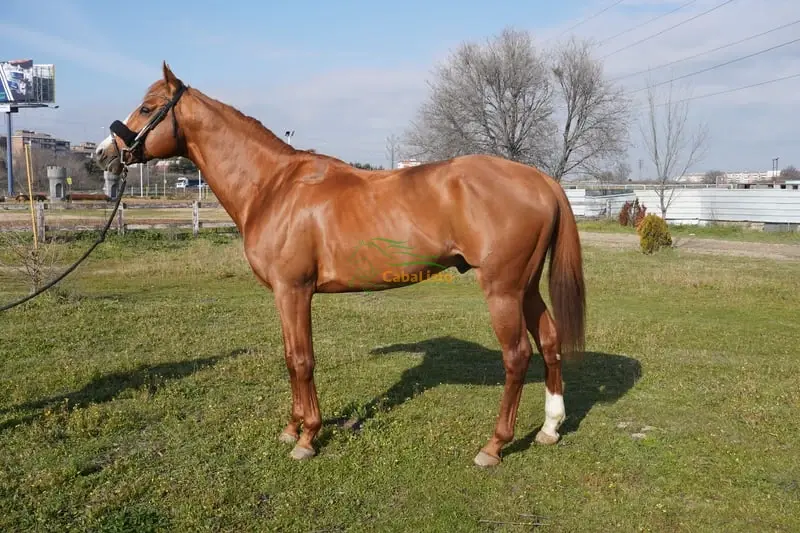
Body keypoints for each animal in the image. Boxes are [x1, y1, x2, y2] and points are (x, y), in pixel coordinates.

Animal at [93, 62, 586, 467]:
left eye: (147, 107)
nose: (103, 153)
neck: (273, 187)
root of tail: (541, 179)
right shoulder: (285, 295)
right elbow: (289, 357)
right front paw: (291, 427)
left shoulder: (294, 290)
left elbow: (302, 359)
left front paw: (307, 438)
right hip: (526, 287)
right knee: (549, 341)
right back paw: (548, 429)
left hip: (502, 289)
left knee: (517, 356)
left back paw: (494, 446)